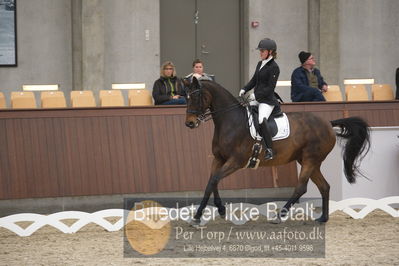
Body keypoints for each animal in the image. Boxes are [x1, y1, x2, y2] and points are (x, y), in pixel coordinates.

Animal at [186, 77, 370, 224]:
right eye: (186, 97)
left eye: (196, 96)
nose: (189, 123)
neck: (231, 122)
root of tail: (328, 124)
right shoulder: (219, 159)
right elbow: (211, 182)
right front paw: (216, 210)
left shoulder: (235, 161)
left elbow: (214, 180)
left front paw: (200, 215)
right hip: (309, 161)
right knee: (324, 186)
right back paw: (322, 218)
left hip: (310, 159)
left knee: (301, 187)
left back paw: (279, 216)